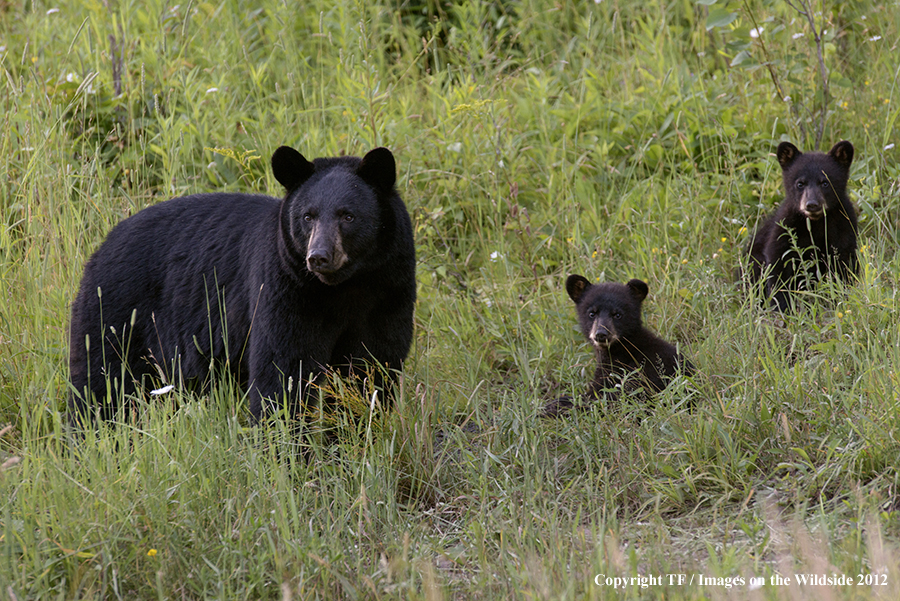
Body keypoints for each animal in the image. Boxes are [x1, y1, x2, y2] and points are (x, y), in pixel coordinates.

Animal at [68, 145, 416, 426]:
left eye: (347, 216)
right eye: (308, 216)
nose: (318, 256)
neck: (344, 288)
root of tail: (102, 246)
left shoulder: (388, 293)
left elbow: (373, 367)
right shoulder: (286, 291)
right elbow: (284, 370)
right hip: (118, 315)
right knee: (100, 384)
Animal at [540, 276, 696, 418]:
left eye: (617, 314)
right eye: (592, 313)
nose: (601, 334)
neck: (621, 350)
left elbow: (599, 396)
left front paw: (555, 405)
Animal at [744, 140, 856, 310]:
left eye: (825, 182)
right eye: (800, 183)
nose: (812, 204)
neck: (816, 224)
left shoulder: (844, 225)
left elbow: (844, 262)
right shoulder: (785, 229)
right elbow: (779, 265)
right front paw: (781, 306)